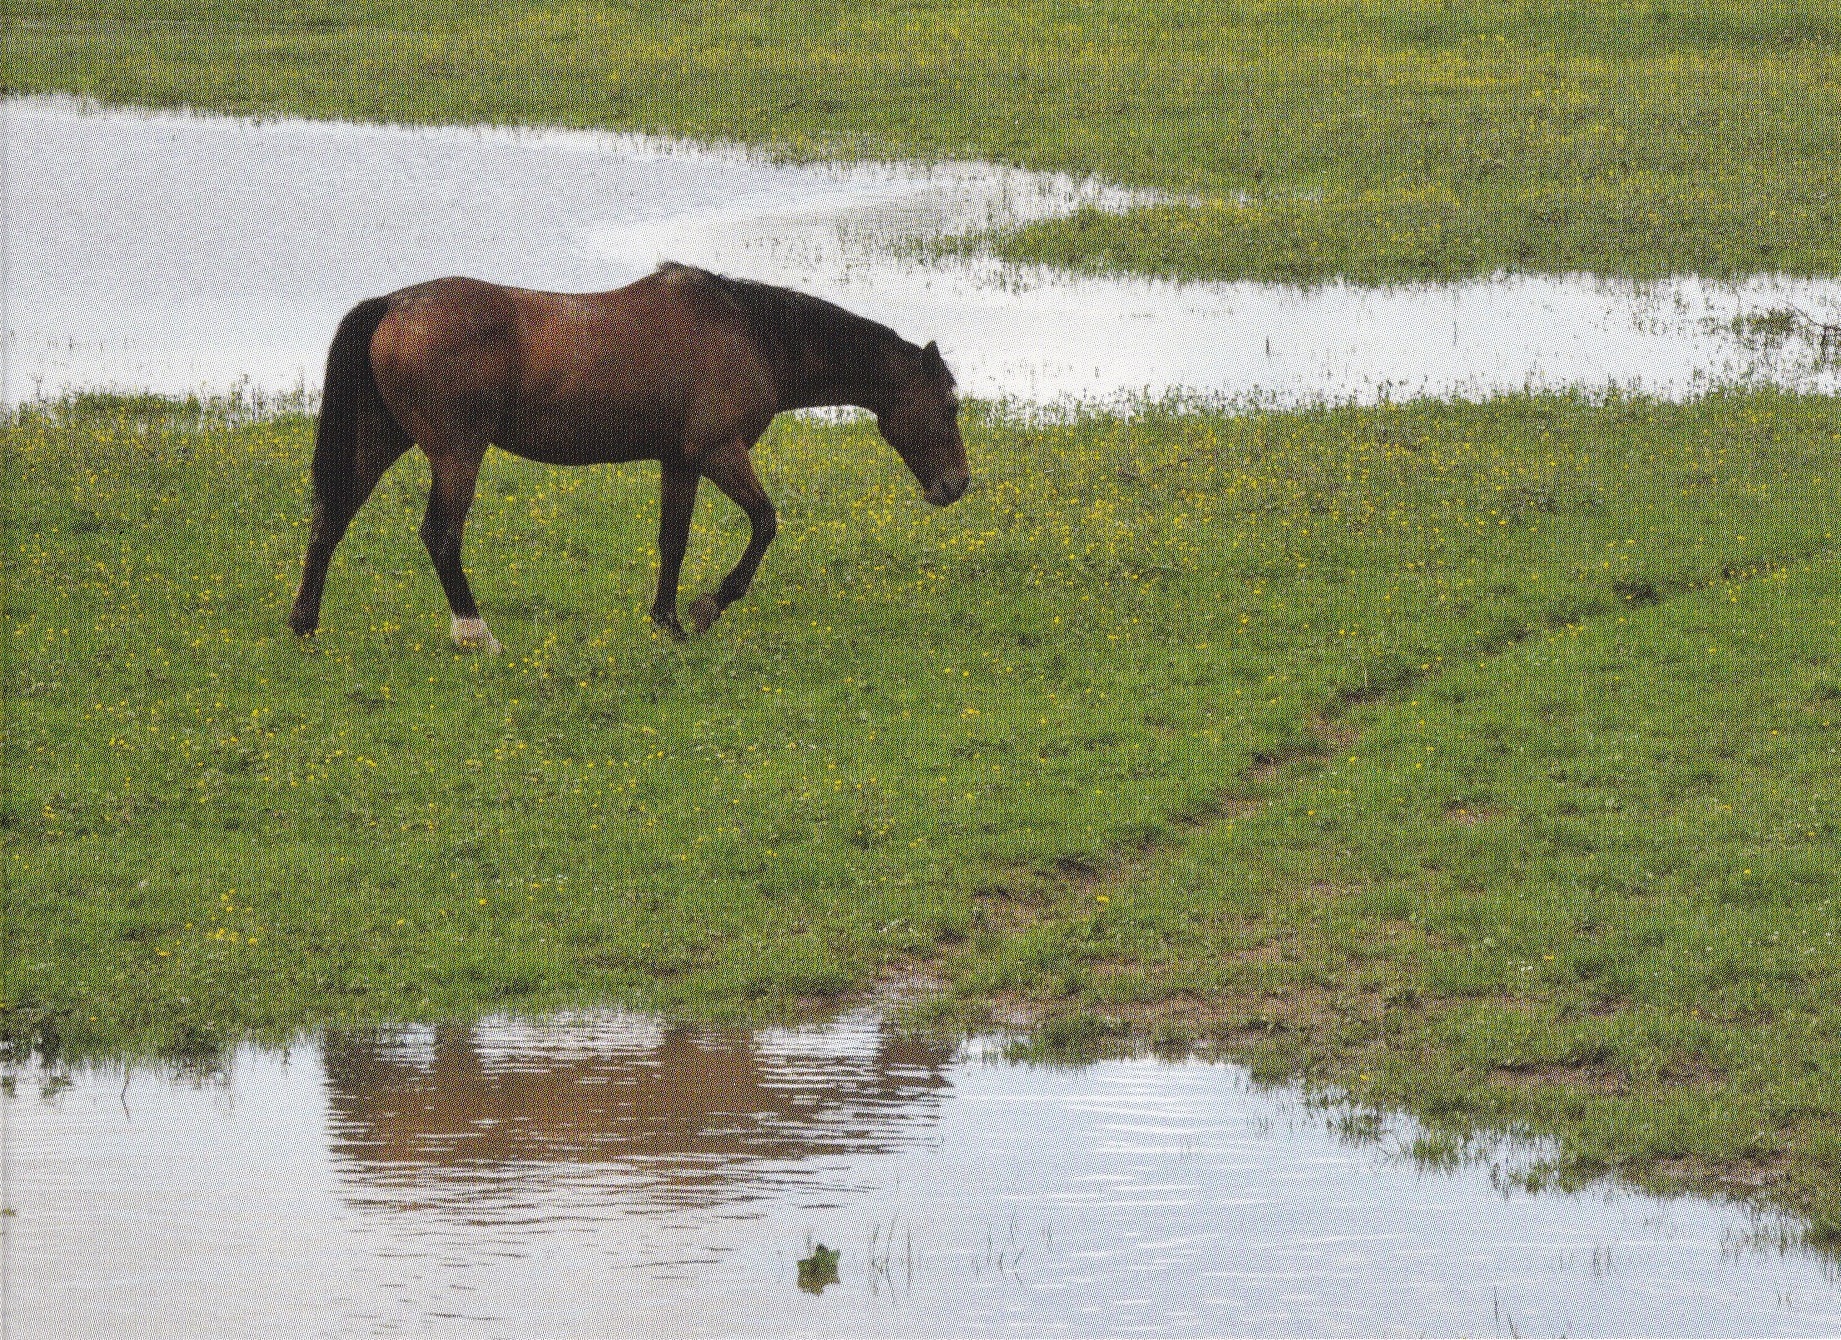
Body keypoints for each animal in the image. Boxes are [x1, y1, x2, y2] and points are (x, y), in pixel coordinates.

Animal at [286, 262, 969, 651]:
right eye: (946, 406)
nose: (957, 484)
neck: (752, 332)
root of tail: (392, 306)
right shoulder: (720, 452)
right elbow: (765, 523)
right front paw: (706, 608)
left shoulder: (682, 460)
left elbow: (674, 539)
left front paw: (667, 620)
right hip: (457, 451)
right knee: (440, 534)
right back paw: (474, 631)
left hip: (381, 440)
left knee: (331, 517)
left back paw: (304, 623)